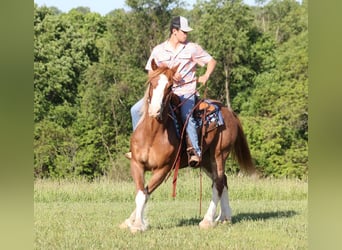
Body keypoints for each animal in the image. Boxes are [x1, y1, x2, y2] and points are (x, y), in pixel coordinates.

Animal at [121, 58, 260, 232]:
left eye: (169, 86)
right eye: (152, 82)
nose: (155, 110)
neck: (152, 134)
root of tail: (229, 112)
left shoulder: (163, 169)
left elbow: (145, 194)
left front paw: (139, 224)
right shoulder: (137, 164)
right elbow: (141, 193)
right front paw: (132, 221)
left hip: (219, 155)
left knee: (218, 183)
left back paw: (208, 220)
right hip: (205, 160)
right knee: (223, 180)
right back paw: (224, 217)